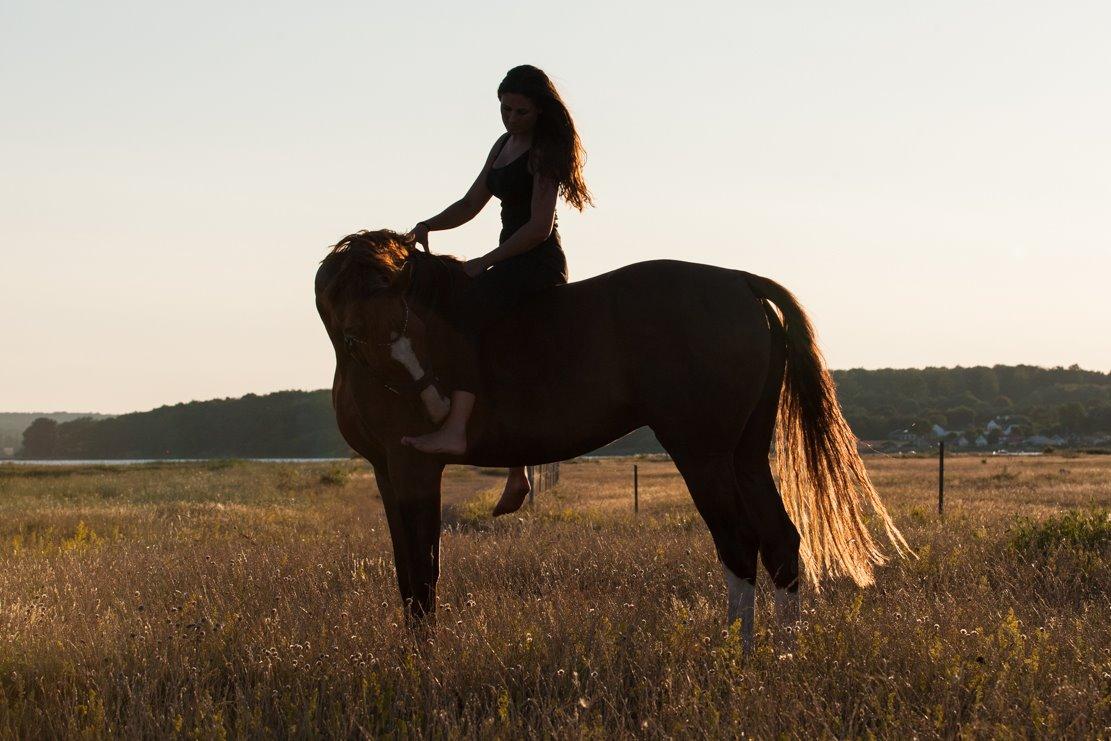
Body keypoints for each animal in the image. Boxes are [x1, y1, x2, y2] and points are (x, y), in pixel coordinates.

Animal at [317, 229, 906, 648]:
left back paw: (738, 655)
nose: (436, 409)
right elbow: (406, 571)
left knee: (738, 544)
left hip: (702, 454)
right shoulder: (387, 472)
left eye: (411, 325)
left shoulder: (415, 468)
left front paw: (425, 662)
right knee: (780, 541)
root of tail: (740, 281)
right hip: (744, 455)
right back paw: (781, 654)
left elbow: (424, 572)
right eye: (355, 334)